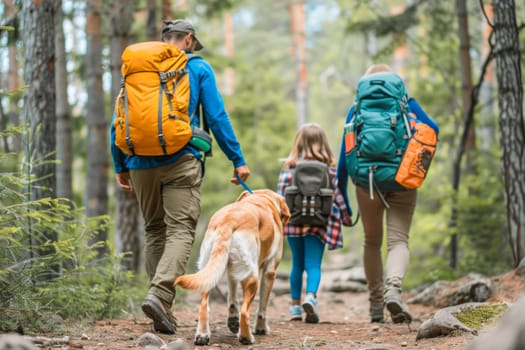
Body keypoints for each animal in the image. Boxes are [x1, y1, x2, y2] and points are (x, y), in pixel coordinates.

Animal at [175, 189, 290, 344]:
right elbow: (262, 307)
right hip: (252, 277)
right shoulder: (269, 272)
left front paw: (233, 320)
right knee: (245, 312)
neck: (262, 198)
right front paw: (261, 328)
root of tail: (229, 219)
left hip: (210, 271)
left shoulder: (232, 271)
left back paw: (202, 335)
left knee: (204, 305)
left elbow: (232, 297)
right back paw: (246, 337)